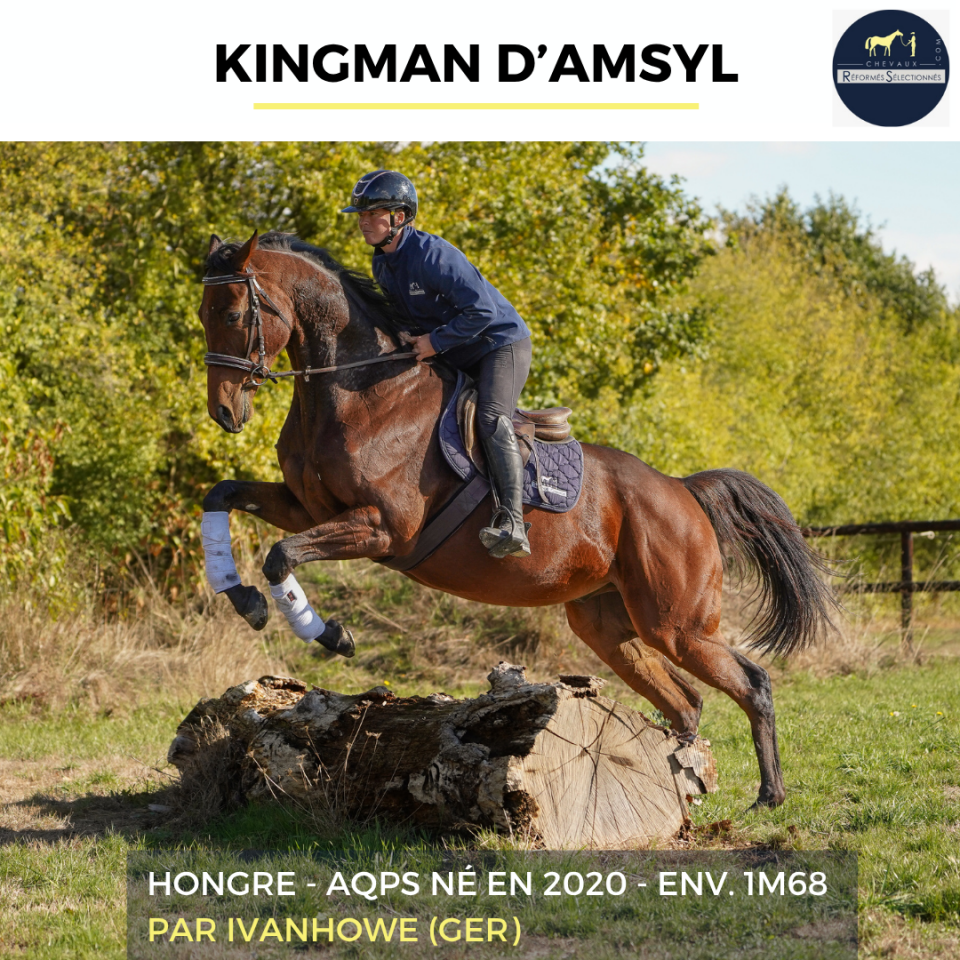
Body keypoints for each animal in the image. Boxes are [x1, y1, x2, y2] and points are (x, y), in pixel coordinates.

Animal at [198, 230, 837, 809]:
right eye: (203, 315)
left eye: (232, 312)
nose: (225, 412)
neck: (359, 392)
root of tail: (683, 491)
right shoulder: (306, 507)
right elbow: (221, 496)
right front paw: (243, 598)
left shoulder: (382, 527)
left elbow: (281, 554)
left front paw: (328, 633)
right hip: (607, 623)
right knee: (684, 702)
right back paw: (678, 788)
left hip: (677, 625)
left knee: (752, 683)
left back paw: (769, 796)